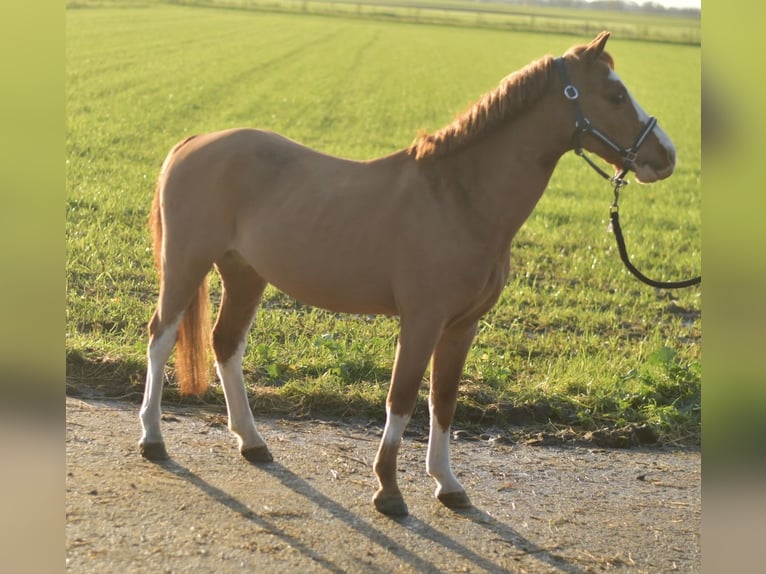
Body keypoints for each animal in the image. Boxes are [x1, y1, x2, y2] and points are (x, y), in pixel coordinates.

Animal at [138, 31, 676, 516]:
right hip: (185, 265)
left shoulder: (461, 327)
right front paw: (388, 491)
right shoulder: (422, 321)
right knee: (161, 338)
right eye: (615, 94)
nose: (666, 156)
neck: (459, 198)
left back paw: (252, 442)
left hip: (245, 276)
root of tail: (193, 143)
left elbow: (444, 401)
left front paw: (448, 484)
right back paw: (153, 438)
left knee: (225, 344)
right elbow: (401, 398)